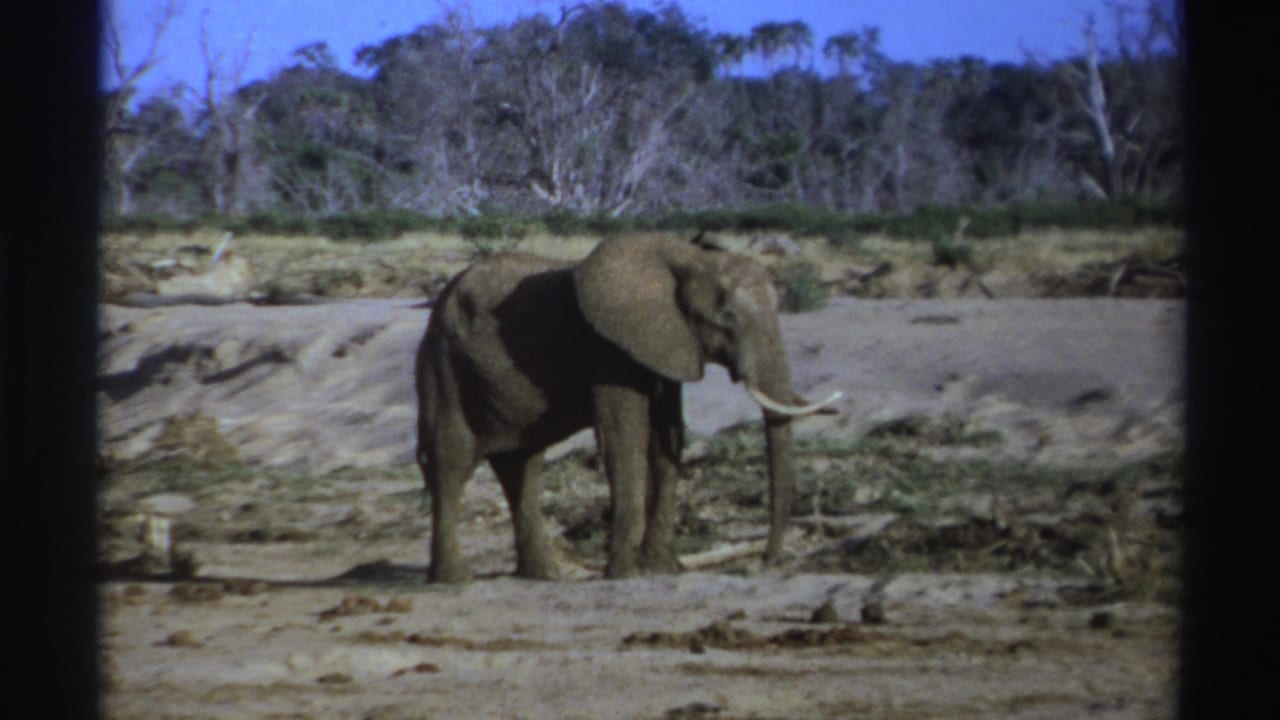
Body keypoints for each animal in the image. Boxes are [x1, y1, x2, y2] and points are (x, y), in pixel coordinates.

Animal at [414, 234, 842, 582]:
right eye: (726, 320)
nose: (767, 561)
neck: (685, 259)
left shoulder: (664, 346)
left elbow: (668, 438)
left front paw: (662, 569)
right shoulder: (608, 349)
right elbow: (624, 438)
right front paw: (625, 574)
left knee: (521, 465)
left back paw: (544, 576)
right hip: (443, 365)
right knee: (452, 460)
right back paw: (456, 579)